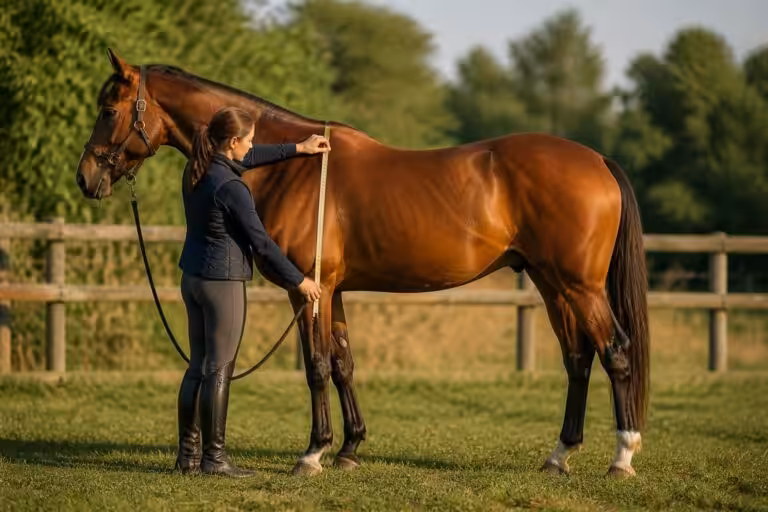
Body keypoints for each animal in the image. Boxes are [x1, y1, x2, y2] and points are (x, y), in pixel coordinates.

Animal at [77, 49, 649, 478]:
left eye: (108, 110)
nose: (86, 178)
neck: (296, 170)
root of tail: (597, 160)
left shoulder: (310, 289)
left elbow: (316, 366)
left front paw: (313, 453)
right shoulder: (333, 291)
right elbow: (344, 363)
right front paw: (350, 449)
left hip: (580, 287)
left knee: (615, 352)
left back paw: (622, 457)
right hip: (553, 285)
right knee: (578, 358)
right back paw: (559, 455)